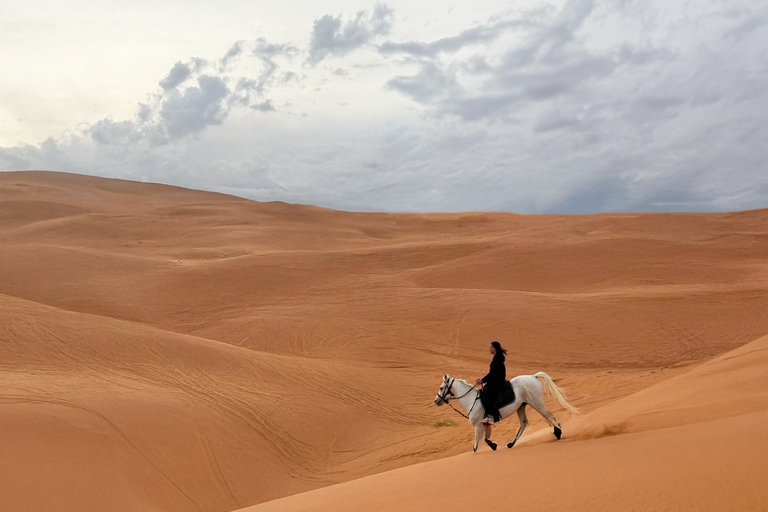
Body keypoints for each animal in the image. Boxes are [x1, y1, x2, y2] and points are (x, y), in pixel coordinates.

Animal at [434, 373, 579, 452]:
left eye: (441, 388)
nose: (436, 401)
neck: (471, 400)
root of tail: (533, 376)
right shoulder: (486, 424)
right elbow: (486, 439)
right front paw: (494, 445)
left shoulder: (477, 426)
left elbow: (475, 447)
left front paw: (489, 446)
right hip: (521, 406)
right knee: (524, 423)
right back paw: (511, 444)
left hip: (536, 403)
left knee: (548, 415)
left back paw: (558, 432)